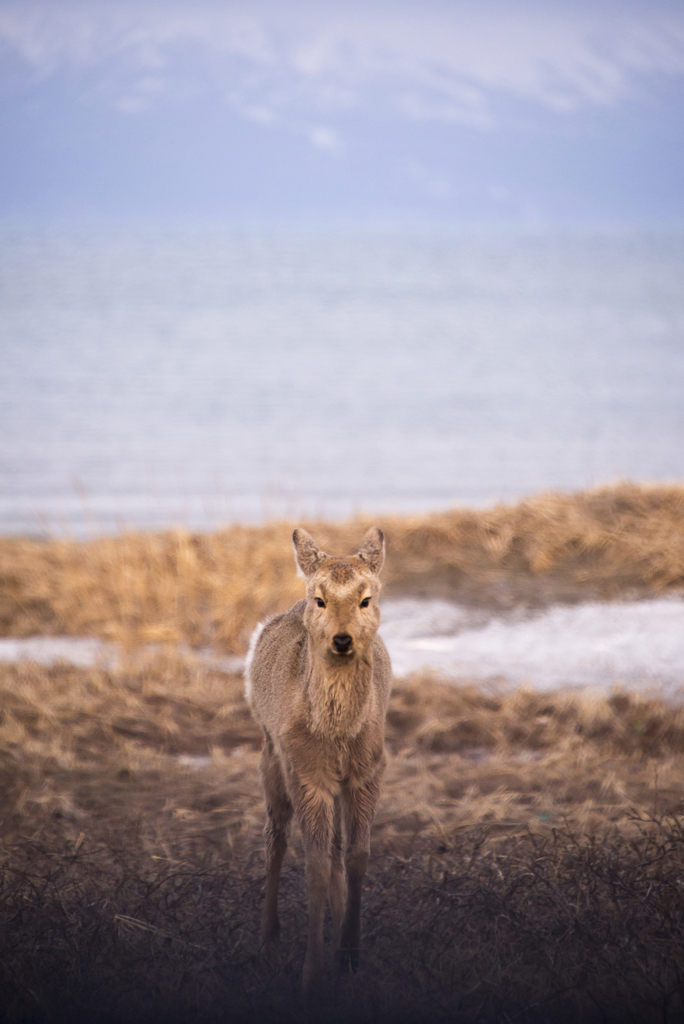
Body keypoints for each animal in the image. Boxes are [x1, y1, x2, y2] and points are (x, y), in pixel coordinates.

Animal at [245, 528, 389, 991]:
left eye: (366, 598)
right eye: (321, 599)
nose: (342, 640)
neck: (338, 734)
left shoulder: (367, 771)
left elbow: (356, 858)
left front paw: (351, 956)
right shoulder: (308, 774)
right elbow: (315, 867)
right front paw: (312, 974)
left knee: (336, 848)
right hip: (272, 756)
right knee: (275, 838)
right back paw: (268, 942)